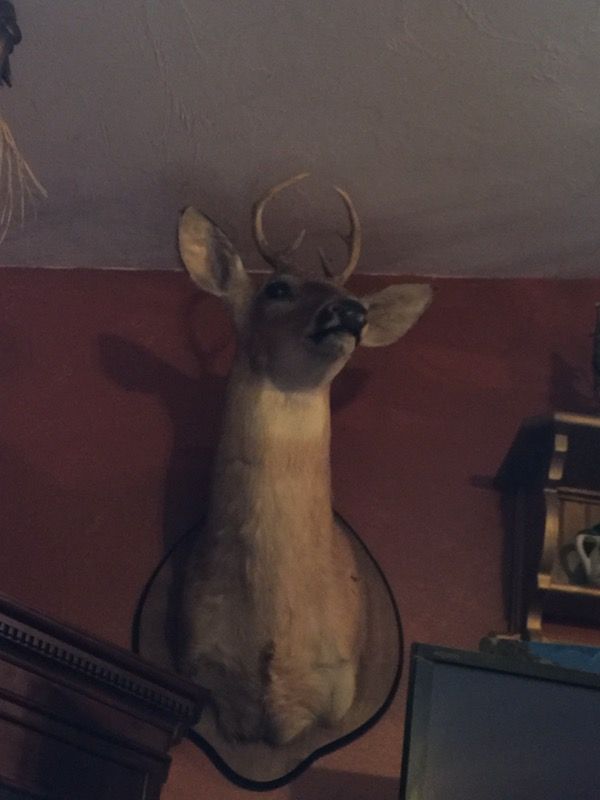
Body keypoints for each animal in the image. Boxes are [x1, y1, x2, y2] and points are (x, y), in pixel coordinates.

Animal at [176, 173, 431, 746]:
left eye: (353, 296)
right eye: (277, 288)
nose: (352, 314)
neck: (274, 628)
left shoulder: (338, 685)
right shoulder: (205, 672)